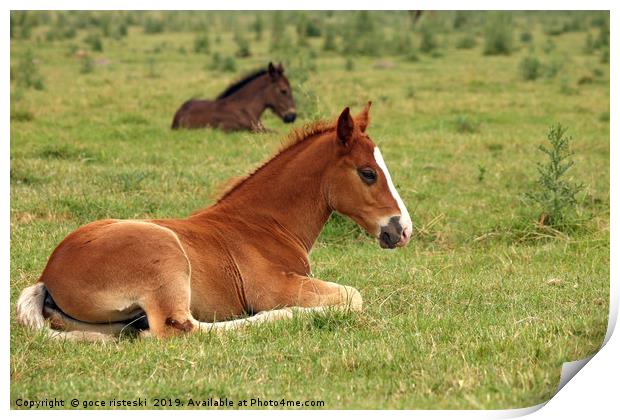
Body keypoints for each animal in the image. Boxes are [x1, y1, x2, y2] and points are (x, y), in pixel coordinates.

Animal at [15, 102, 412, 342]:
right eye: (368, 173)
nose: (402, 230)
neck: (263, 225)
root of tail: (49, 274)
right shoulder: (275, 288)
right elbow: (354, 296)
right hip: (165, 257)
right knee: (179, 329)